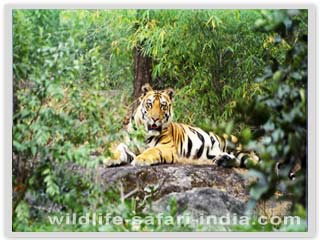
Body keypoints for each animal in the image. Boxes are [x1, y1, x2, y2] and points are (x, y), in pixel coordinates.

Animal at [105, 83, 260, 168]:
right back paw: (223, 160)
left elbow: (152, 150)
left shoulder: (167, 148)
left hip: (236, 144)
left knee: (255, 161)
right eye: (149, 104)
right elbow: (119, 147)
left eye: (163, 106)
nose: (155, 119)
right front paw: (110, 159)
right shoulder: (129, 143)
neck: (145, 133)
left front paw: (141, 159)